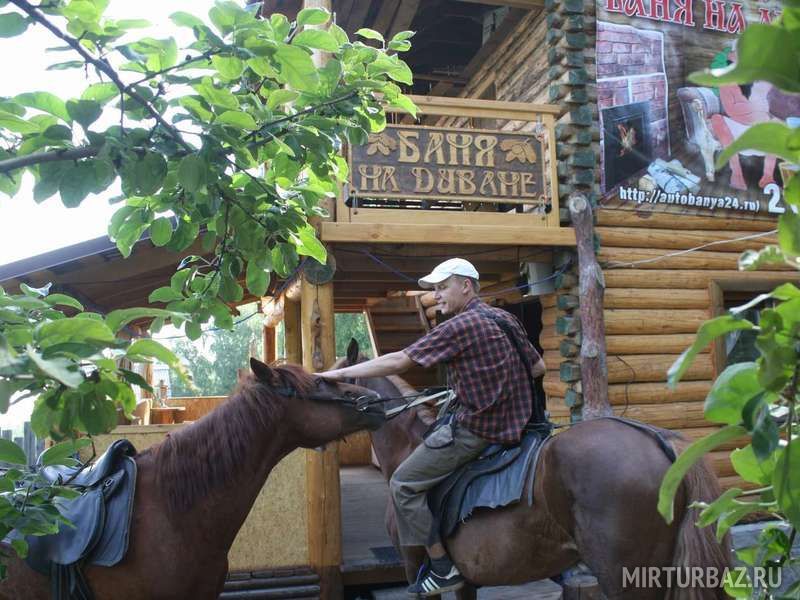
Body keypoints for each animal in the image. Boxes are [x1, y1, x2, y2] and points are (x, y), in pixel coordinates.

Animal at [334, 342, 736, 600]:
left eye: (331, 380)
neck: (408, 445)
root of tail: (658, 439)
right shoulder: (467, 582)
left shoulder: (412, 563)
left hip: (629, 580)